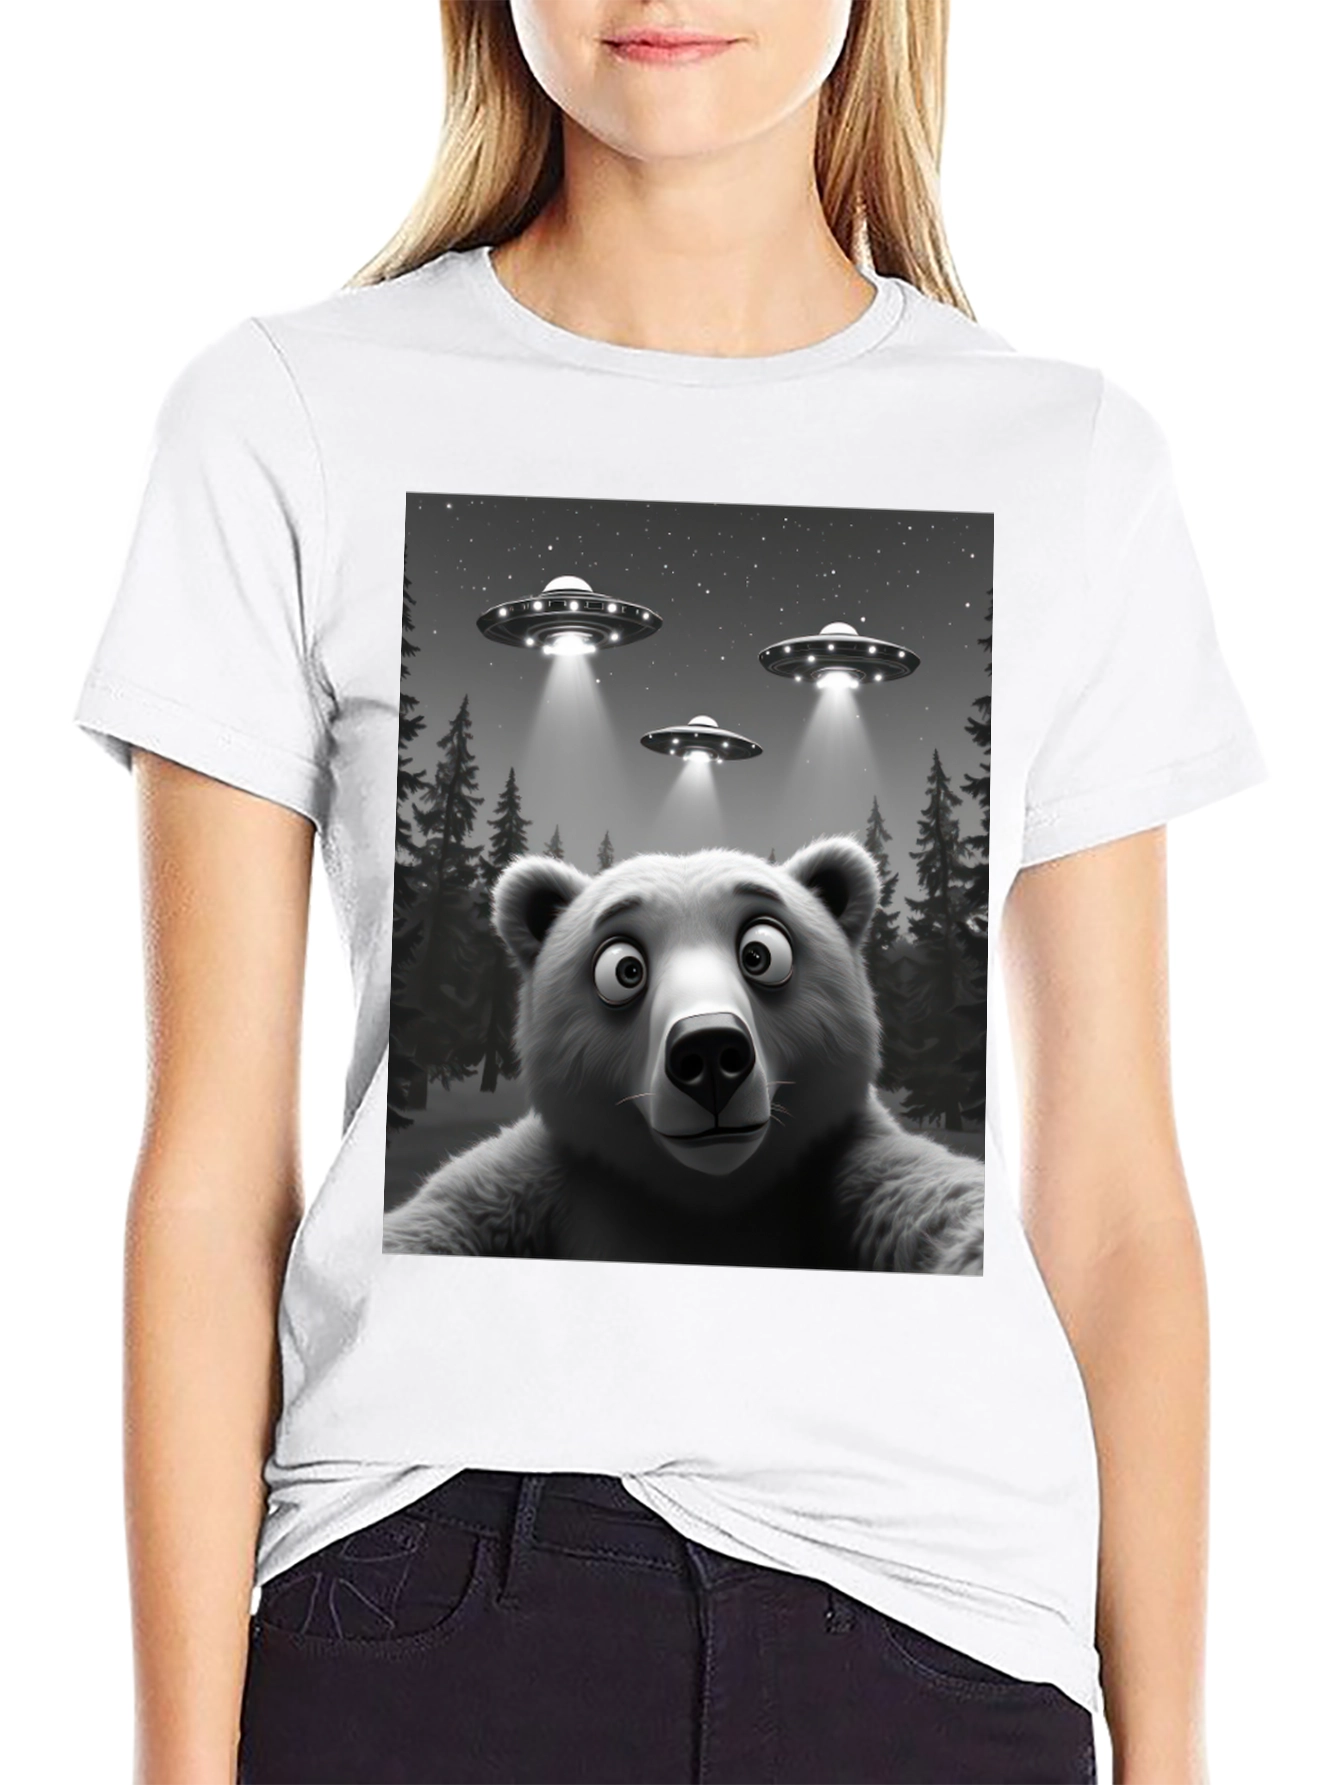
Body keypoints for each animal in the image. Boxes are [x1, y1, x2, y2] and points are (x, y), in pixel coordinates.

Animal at [383, 836, 984, 1273]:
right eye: (623, 968)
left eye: (762, 953)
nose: (711, 1051)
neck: (705, 1194)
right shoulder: (558, 1178)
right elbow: (446, 1215)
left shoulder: (833, 1162)